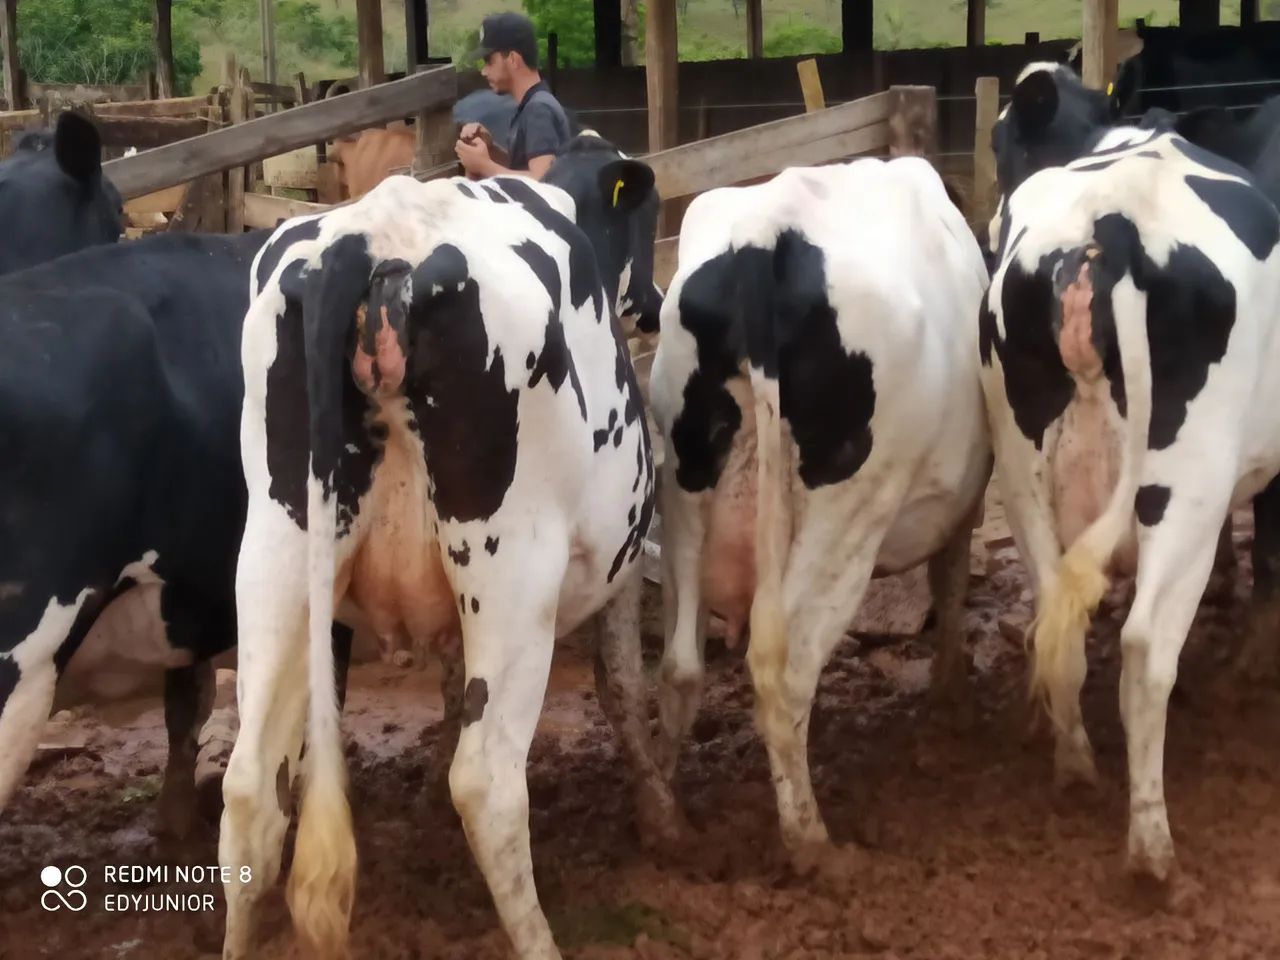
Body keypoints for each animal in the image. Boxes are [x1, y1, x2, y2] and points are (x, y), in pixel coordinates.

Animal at [218, 134, 671, 960]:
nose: (653, 303)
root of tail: (369, 239)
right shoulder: (618, 559)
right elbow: (622, 685)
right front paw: (663, 820)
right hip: (512, 572)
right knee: (488, 780)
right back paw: (540, 942)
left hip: (275, 556)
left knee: (250, 788)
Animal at [647, 156, 991, 880]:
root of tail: (762, 242)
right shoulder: (965, 500)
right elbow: (951, 582)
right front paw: (951, 695)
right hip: (849, 511)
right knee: (783, 669)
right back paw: (812, 841)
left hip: (684, 483)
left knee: (681, 667)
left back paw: (664, 810)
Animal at [983, 60, 1280, 883]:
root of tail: (1107, 225)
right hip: (1188, 485)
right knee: (1148, 652)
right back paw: (1151, 848)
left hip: (1021, 469)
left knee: (1057, 623)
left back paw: (1076, 767)